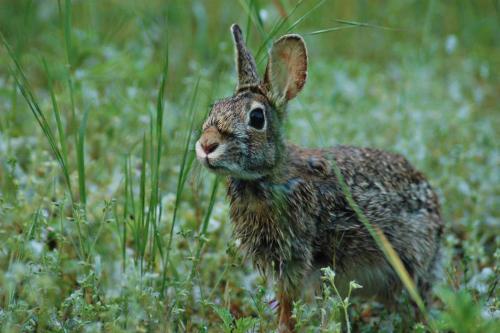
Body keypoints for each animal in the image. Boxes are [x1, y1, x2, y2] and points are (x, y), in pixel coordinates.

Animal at [194, 24, 442, 330]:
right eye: (214, 108)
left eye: (257, 118)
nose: (207, 145)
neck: (271, 176)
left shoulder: (295, 255)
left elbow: (289, 300)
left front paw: (284, 327)